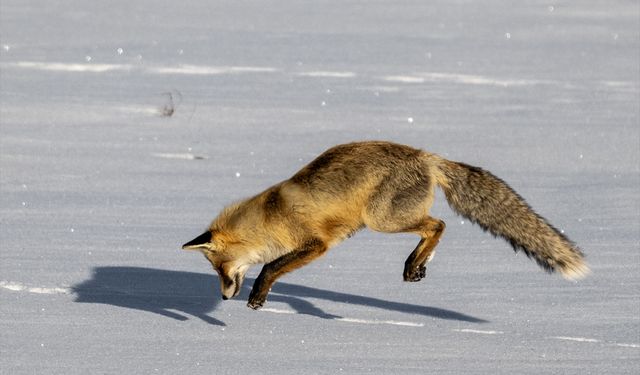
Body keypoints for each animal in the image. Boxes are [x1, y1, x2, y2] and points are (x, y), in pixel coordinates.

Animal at [181, 142, 592, 310]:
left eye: (219, 269)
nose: (223, 298)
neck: (270, 216)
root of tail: (427, 156)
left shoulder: (316, 244)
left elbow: (270, 267)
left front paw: (257, 298)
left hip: (381, 219)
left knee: (439, 224)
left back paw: (413, 265)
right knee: (435, 227)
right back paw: (418, 266)